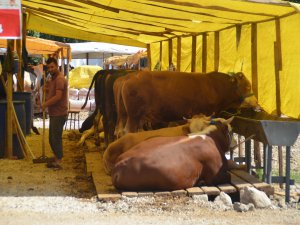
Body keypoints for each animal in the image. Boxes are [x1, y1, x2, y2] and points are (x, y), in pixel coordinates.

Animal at [113, 71, 258, 136]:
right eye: (247, 86)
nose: (257, 102)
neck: (215, 87)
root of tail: (131, 76)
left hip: (125, 115)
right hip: (134, 116)